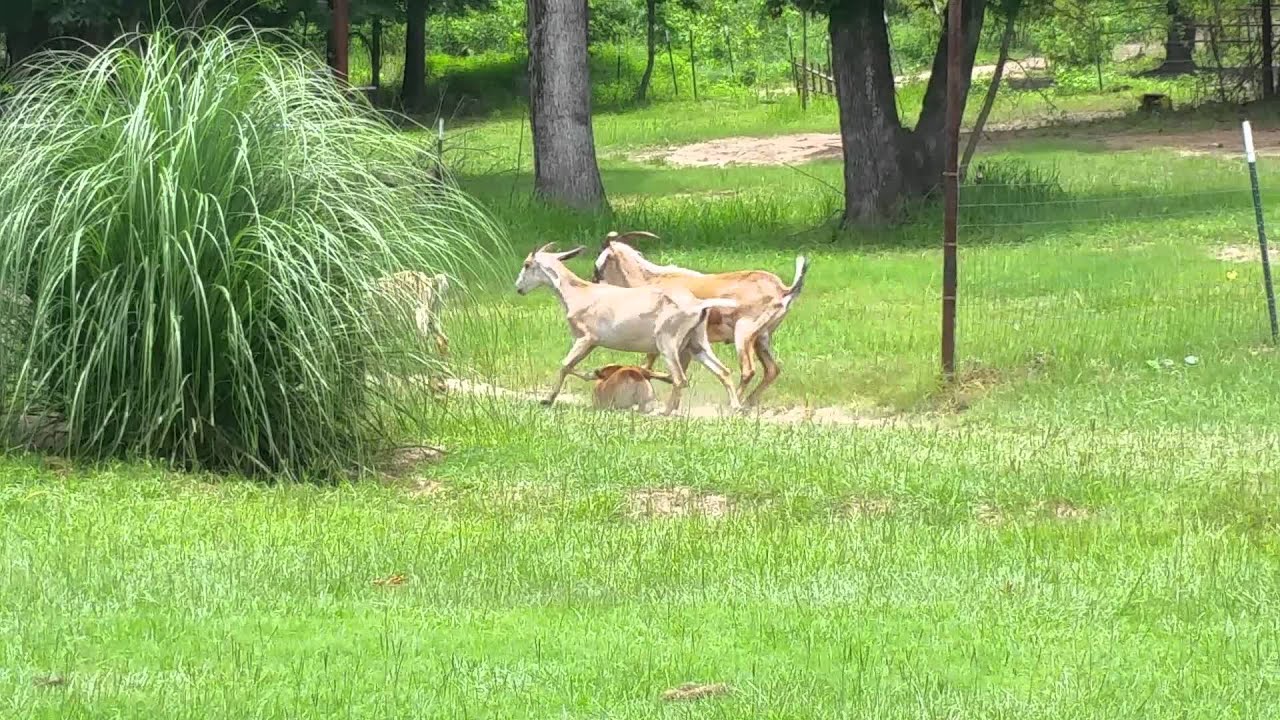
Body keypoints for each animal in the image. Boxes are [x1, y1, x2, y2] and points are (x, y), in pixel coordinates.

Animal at [514, 243, 741, 414]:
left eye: (527, 264)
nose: (518, 288)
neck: (579, 293)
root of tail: (698, 305)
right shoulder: (591, 343)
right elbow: (570, 366)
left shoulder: (586, 338)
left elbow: (565, 365)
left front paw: (547, 399)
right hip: (696, 342)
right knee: (723, 371)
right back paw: (736, 408)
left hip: (667, 343)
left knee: (680, 378)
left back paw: (666, 411)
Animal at [591, 231, 809, 406]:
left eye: (597, 267)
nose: (593, 283)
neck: (651, 279)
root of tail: (783, 289)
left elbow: (653, 366)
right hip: (762, 337)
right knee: (772, 369)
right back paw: (748, 402)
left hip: (744, 333)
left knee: (748, 370)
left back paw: (733, 404)